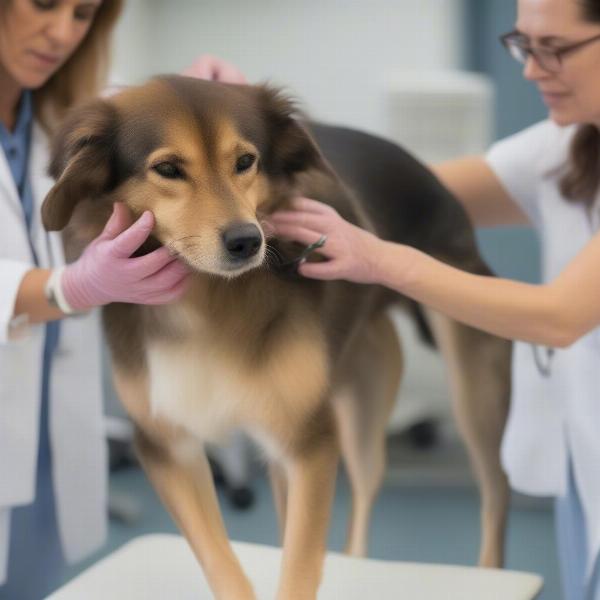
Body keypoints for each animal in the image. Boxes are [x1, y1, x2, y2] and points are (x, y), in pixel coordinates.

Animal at [41, 76, 510, 600]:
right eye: (167, 169)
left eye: (245, 161)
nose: (246, 241)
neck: (205, 302)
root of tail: (431, 177)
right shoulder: (169, 446)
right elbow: (222, 562)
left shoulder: (309, 443)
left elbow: (300, 566)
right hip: (352, 405)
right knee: (366, 488)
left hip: (473, 387)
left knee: (495, 497)